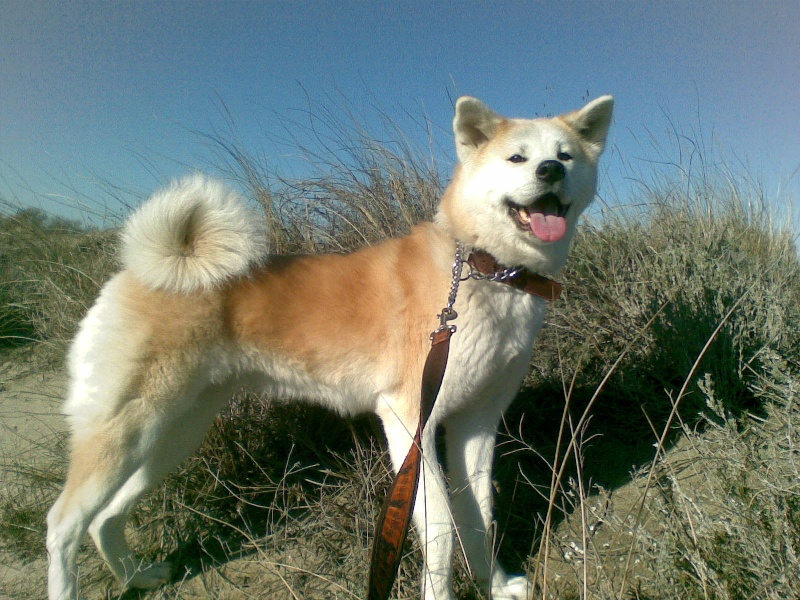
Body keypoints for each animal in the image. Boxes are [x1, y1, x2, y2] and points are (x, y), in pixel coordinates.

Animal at [46, 94, 613, 600]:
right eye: (517, 158)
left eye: (564, 155)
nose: (549, 172)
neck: (484, 269)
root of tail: (139, 270)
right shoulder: (410, 422)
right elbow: (440, 535)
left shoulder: (476, 423)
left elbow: (480, 519)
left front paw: (494, 586)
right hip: (126, 432)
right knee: (64, 524)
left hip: (171, 437)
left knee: (105, 518)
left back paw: (137, 578)